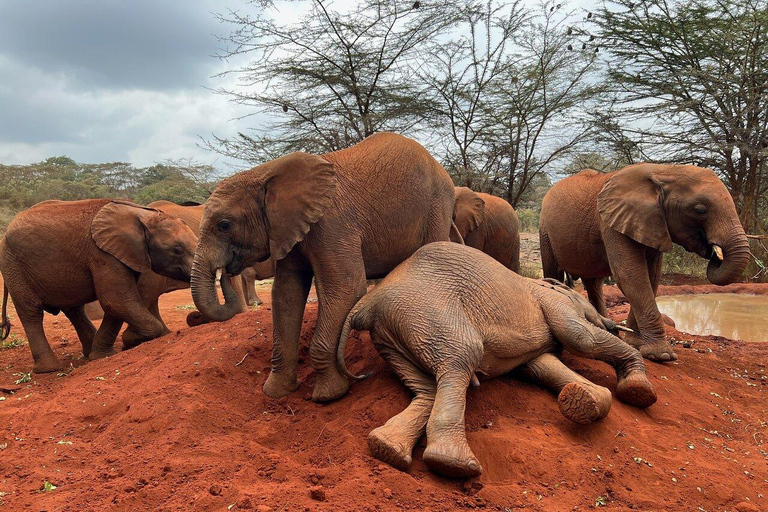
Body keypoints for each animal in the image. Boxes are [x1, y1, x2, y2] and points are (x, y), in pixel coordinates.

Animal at [0, 198, 198, 370]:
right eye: (178, 250)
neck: (142, 215)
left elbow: (117, 304)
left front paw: (102, 356)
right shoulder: (103, 254)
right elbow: (116, 301)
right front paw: (129, 341)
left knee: (73, 309)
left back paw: (88, 353)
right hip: (13, 265)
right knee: (31, 312)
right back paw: (49, 369)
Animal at [192, 132, 468, 404]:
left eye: (224, 225)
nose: (225, 270)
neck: (266, 172)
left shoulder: (332, 224)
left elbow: (345, 288)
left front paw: (329, 396)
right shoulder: (289, 231)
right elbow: (285, 295)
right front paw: (276, 392)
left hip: (437, 206)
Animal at [336, 242, 656, 478]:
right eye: (587, 305)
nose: (610, 323)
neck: (543, 282)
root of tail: (368, 303)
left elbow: (541, 365)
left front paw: (585, 400)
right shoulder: (554, 302)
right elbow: (580, 337)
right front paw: (638, 392)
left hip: (391, 334)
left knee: (428, 387)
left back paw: (386, 449)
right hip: (425, 309)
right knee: (462, 356)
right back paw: (453, 465)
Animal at [540, 163, 752, 360]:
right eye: (699, 210)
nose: (713, 251)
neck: (664, 170)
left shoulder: (652, 223)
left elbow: (650, 277)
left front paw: (636, 343)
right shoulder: (611, 222)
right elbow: (631, 275)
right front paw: (661, 355)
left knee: (594, 283)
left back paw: (613, 333)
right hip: (545, 229)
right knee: (554, 271)